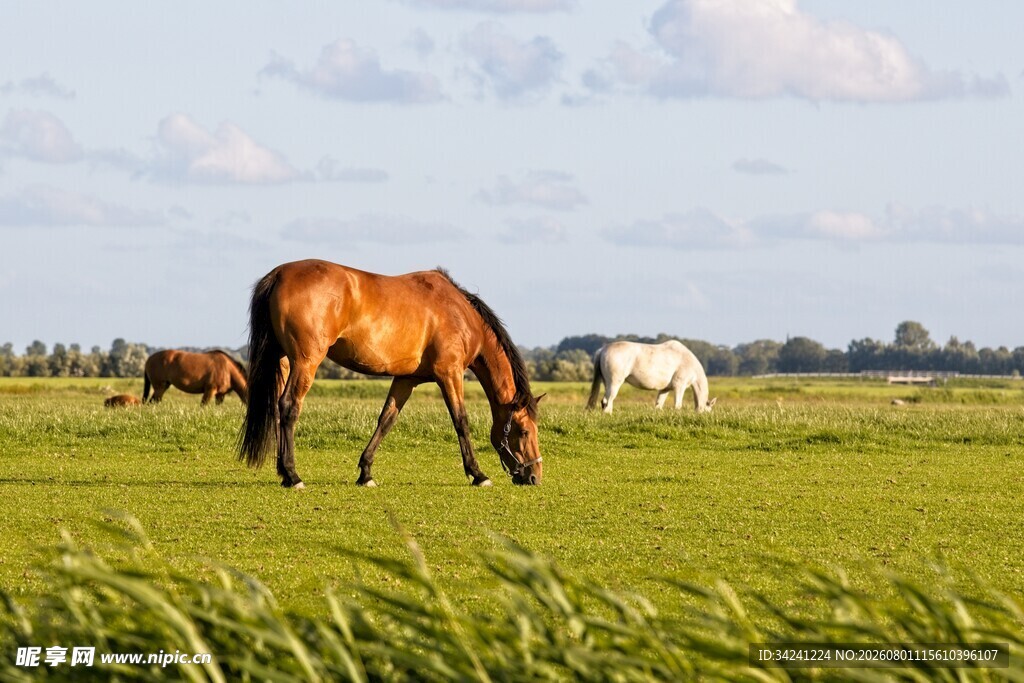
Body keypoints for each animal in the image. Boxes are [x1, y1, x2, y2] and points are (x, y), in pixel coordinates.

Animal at [238, 259, 544, 489]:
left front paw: (366, 473)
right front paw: (478, 474)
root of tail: (279, 274)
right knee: (289, 407)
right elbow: (461, 421)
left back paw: (283, 473)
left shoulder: (406, 379)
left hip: (282, 361)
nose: (534, 477)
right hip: (305, 362)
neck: (459, 313)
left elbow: (386, 420)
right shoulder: (450, 374)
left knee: (277, 410)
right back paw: (293, 476)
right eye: (524, 431)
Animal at [587, 340, 716, 414]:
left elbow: (658, 405)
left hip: (607, 384)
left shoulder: (665, 389)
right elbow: (678, 405)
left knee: (608, 401)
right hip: (614, 384)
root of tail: (603, 350)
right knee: (607, 400)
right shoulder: (680, 386)